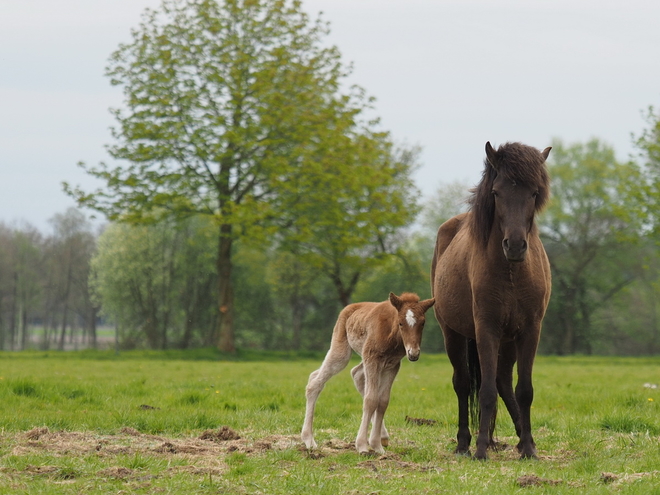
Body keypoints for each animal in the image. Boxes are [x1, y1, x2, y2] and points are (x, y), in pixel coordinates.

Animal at [300, 292, 434, 456]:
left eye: (423, 323)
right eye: (401, 323)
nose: (413, 353)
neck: (391, 332)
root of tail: (348, 308)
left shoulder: (393, 365)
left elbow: (382, 401)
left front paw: (377, 445)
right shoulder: (372, 357)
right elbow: (371, 400)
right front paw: (363, 445)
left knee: (354, 374)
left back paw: (383, 436)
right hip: (342, 351)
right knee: (315, 382)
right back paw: (309, 440)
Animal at [434, 140, 552, 462]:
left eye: (534, 193)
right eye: (497, 193)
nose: (515, 245)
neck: (511, 272)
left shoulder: (530, 330)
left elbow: (524, 390)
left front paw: (528, 448)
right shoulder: (486, 328)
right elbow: (484, 391)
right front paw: (481, 449)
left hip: (508, 341)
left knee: (504, 383)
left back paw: (523, 439)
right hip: (453, 334)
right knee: (463, 384)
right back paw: (464, 443)